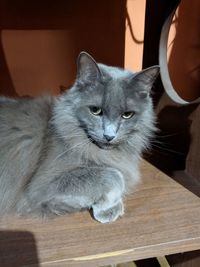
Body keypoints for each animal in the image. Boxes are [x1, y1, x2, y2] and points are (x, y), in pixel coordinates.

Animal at [0, 52, 159, 224]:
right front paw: (106, 209)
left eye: (127, 115)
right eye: (95, 110)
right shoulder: (40, 187)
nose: (109, 136)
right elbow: (114, 176)